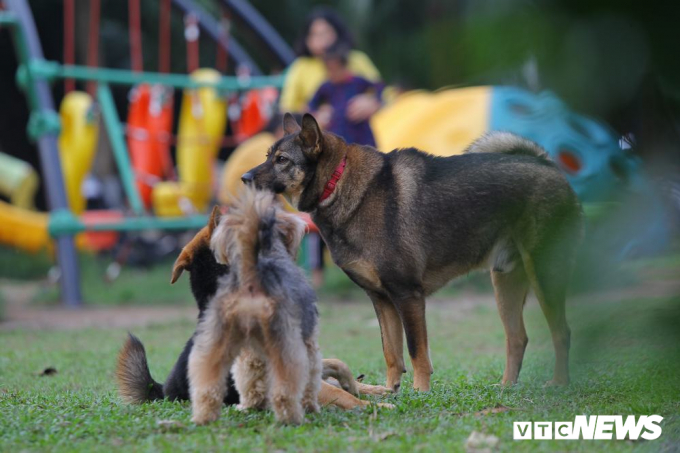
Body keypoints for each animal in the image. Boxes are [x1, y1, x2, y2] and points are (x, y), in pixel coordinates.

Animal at [187, 187, 322, 424]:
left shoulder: (249, 354)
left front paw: (252, 405)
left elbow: (249, 377)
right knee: (284, 390)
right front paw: (311, 406)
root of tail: (252, 276)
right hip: (284, 342)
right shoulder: (308, 343)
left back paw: (203, 416)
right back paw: (293, 417)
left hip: (215, 338)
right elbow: (311, 378)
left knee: (206, 384)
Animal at [242, 114, 580, 392]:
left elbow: (417, 352)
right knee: (517, 338)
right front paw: (390, 391)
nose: (244, 178)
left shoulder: (408, 296)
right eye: (267, 156)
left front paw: (420, 392)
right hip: (505, 282)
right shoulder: (382, 300)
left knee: (562, 332)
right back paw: (507, 387)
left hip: (544, 276)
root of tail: (550, 168)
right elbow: (391, 353)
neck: (339, 182)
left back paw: (559, 384)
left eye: (282, 160)